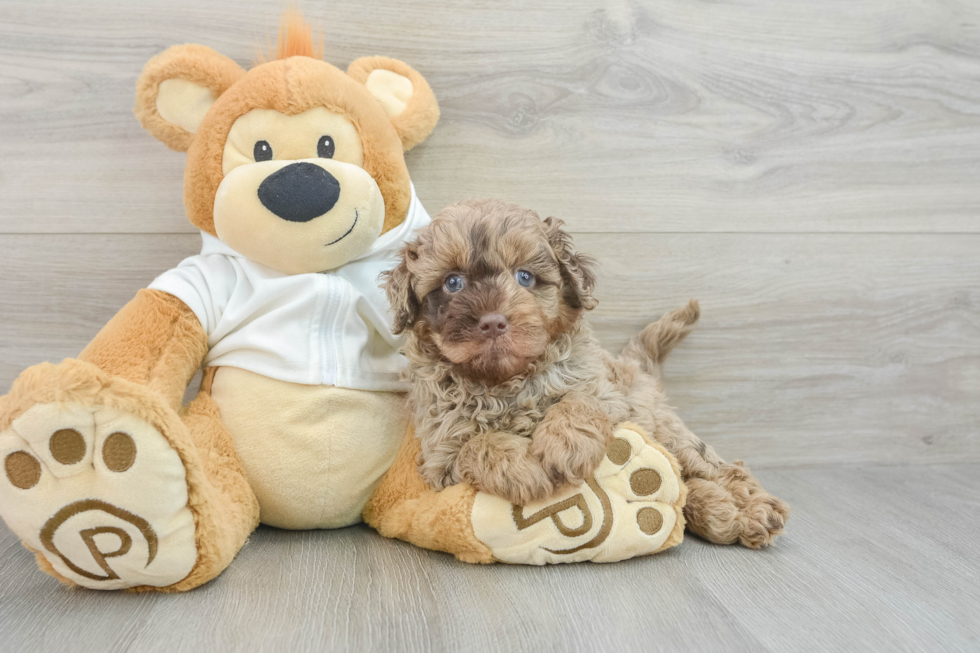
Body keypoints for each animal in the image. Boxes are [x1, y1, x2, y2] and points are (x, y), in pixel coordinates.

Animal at [380, 197, 788, 544]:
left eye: (524, 277)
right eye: (453, 282)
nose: (493, 322)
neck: (505, 381)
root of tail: (635, 365)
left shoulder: (607, 396)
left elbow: (580, 402)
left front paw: (563, 446)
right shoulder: (440, 458)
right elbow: (476, 445)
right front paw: (523, 468)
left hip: (660, 422)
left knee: (717, 468)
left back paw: (752, 509)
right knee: (685, 487)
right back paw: (719, 511)